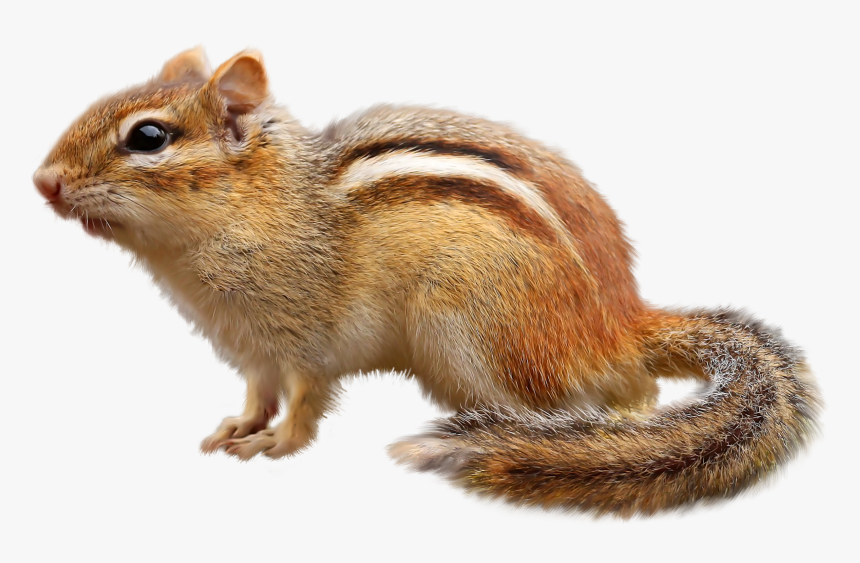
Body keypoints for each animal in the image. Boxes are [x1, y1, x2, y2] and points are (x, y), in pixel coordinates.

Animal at [34, 47, 820, 516]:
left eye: (148, 136)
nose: (43, 181)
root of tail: (620, 324)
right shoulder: (252, 350)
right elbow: (256, 394)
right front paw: (236, 427)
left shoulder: (307, 340)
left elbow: (304, 402)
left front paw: (275, 445)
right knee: (640, 392)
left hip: (471, 335)